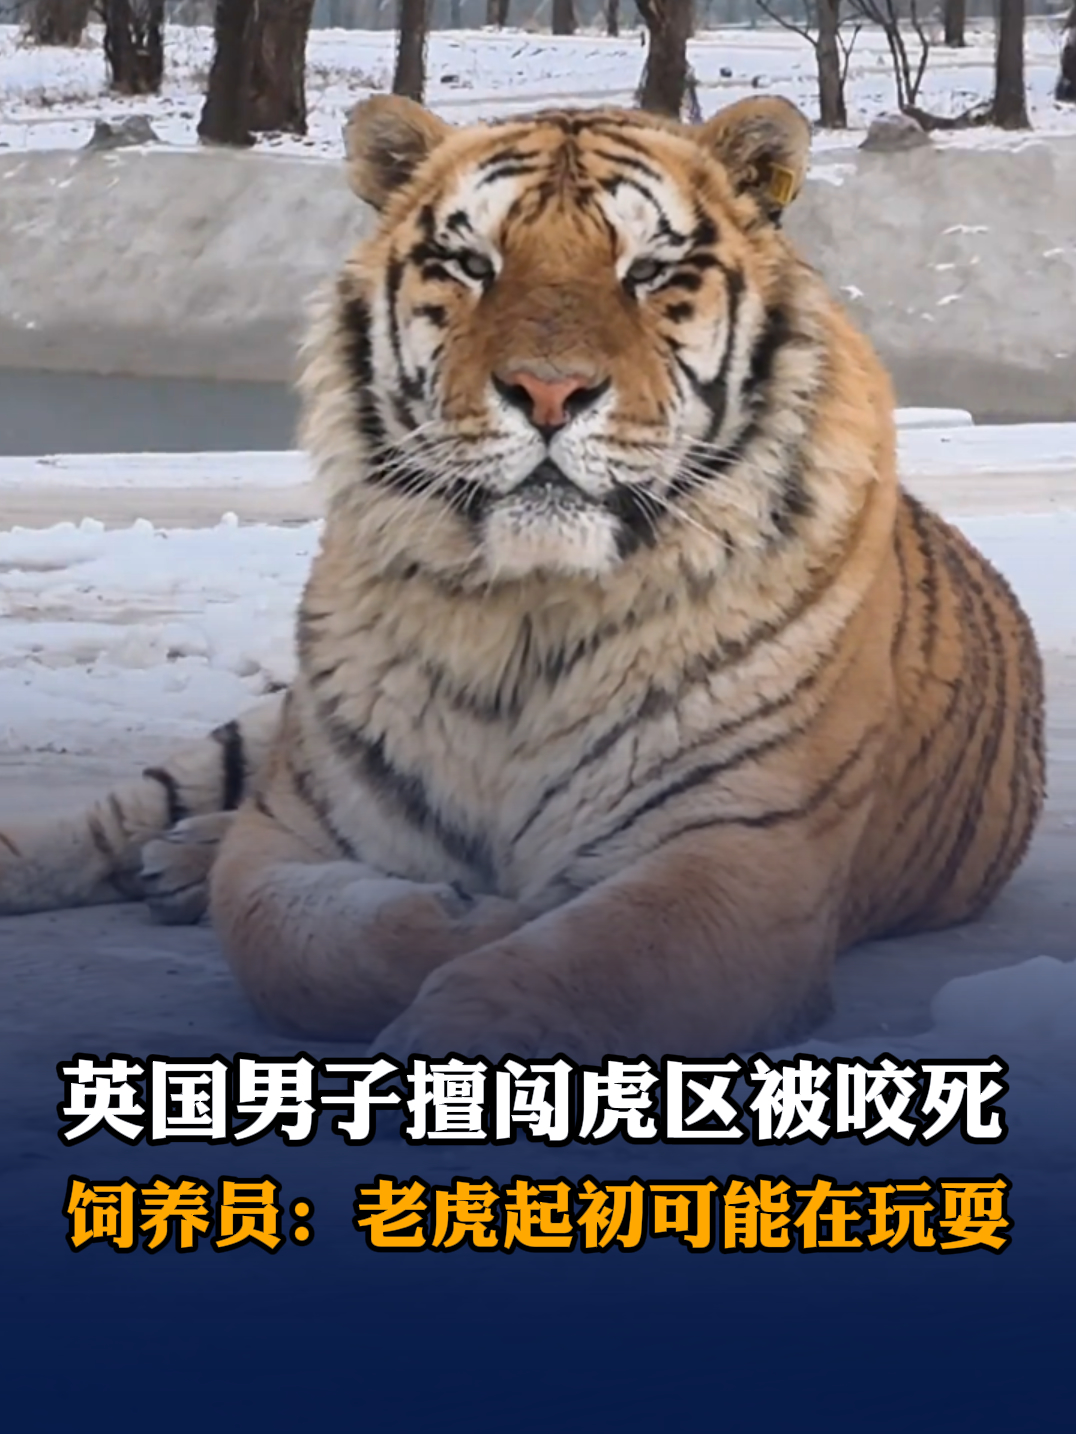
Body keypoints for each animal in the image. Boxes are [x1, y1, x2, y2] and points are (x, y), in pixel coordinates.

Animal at [0, 94, 1045, 1061]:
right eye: (472, 265)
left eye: (650, 271)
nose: (549, 391)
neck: (524, 616)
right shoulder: (290, 831)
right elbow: (311, 946)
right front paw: (479, 912)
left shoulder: (742, 854)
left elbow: (556, 970)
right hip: (276, 727)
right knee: (125, 810)